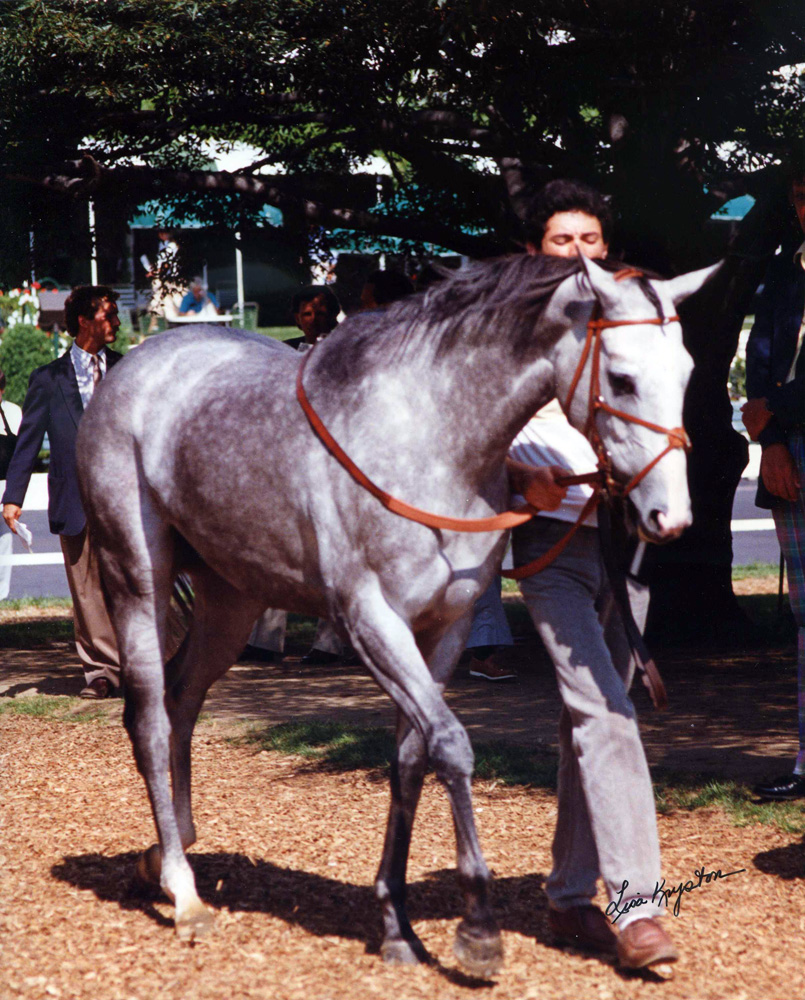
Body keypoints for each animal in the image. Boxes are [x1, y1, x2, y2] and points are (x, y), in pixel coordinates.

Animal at [77, 252, 716, 976]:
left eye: (686, 371)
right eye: (622, 378)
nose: (669, 517)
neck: (429, 438)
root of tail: (133, 366)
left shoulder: (446, 628)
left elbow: (411, 755)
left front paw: (396, 925)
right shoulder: (371, 621)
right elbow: (450, 745)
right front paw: (477, 929)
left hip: (231, 600)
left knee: (183, 701)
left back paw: (166, 854)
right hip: (136, 579)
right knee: (152, 720)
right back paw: (183, 895)